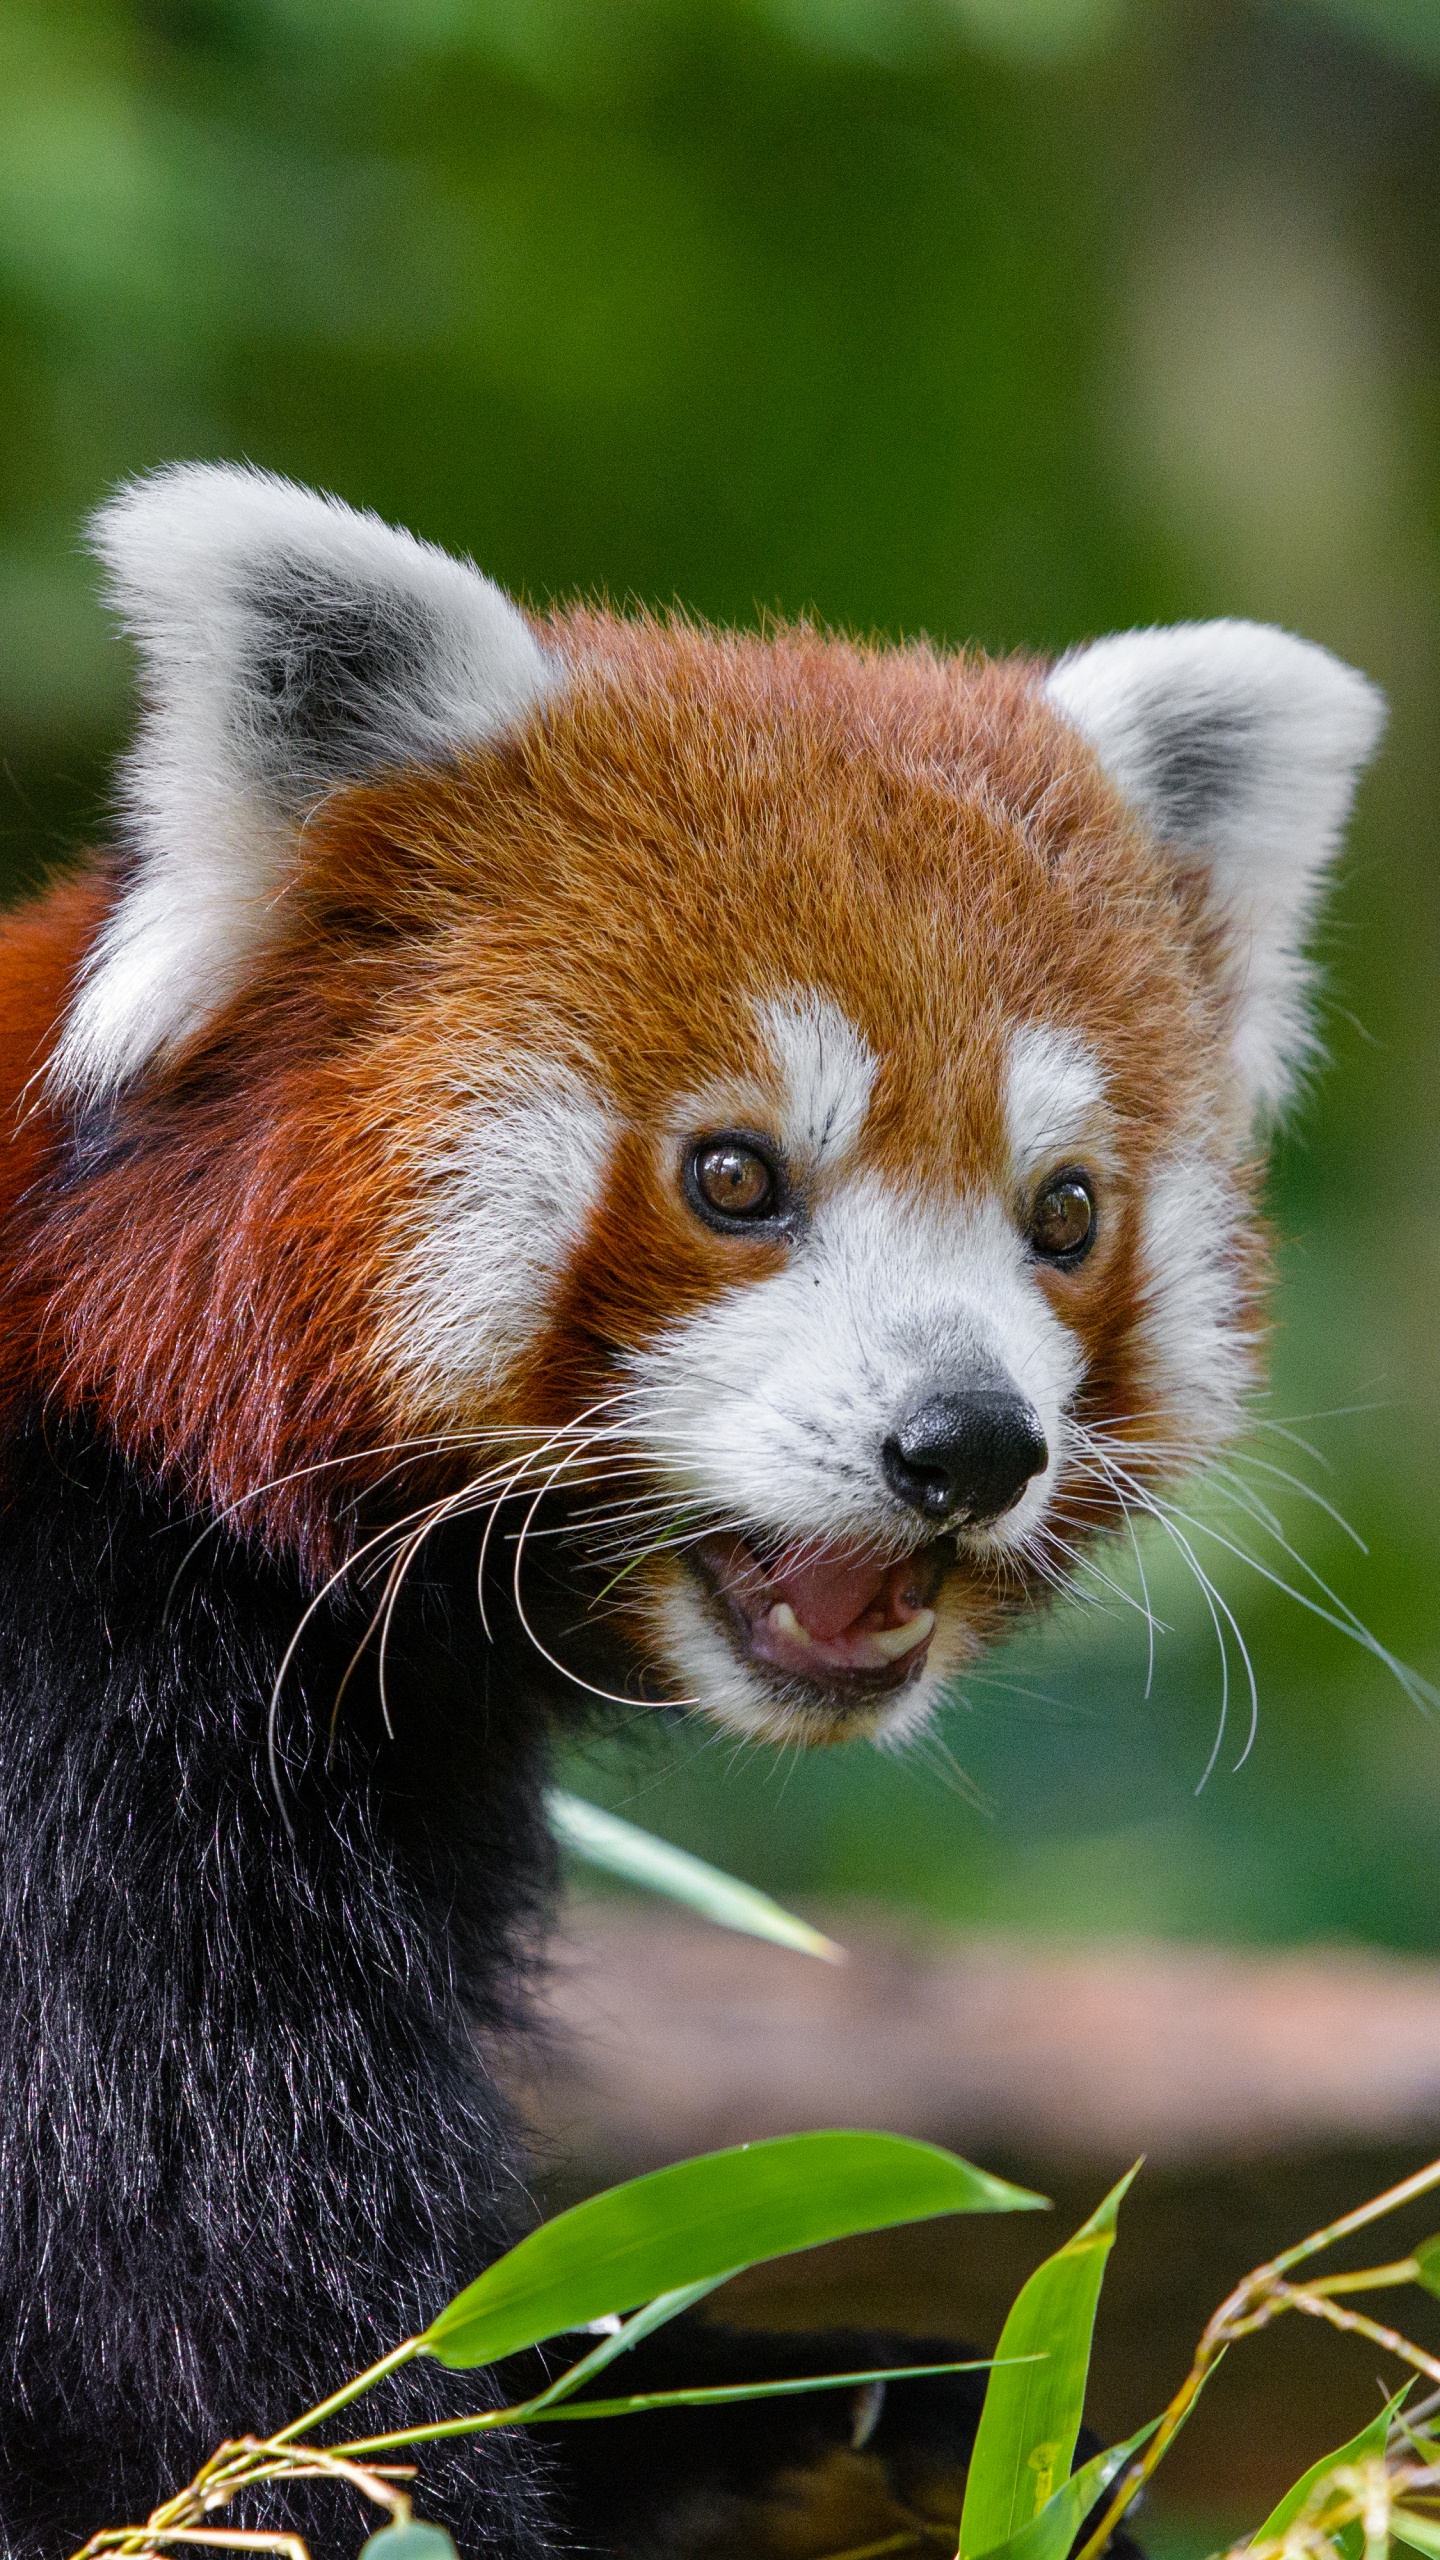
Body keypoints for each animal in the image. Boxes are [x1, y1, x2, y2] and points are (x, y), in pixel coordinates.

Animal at [0, 471, 1383, 2560]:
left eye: (1062, 1213)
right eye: (735, 1176)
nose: (966, 1445)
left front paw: (886, 2428)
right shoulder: (93, 1776)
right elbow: (256, 2387)